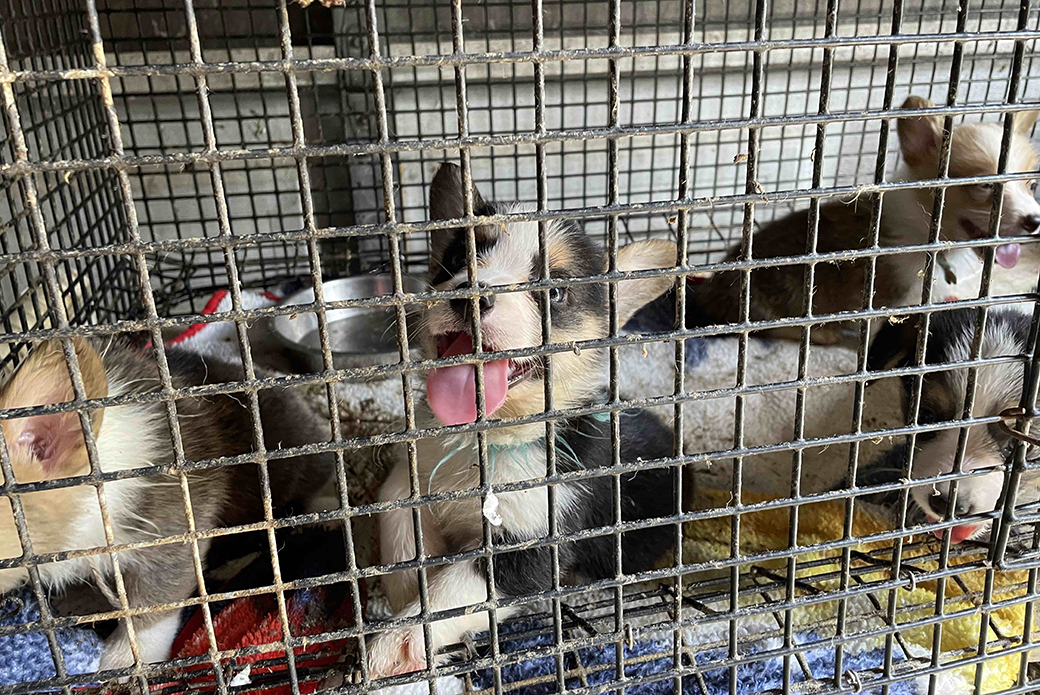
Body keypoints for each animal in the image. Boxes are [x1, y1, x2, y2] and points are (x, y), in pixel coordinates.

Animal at [368, 161, 682, 674]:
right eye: (458, 256)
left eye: (555, 292)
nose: (471, 295)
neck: (486, 438)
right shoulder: (407, 480)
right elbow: (397, 525)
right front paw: (406, 588)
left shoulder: (531, 546)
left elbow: (454, 591)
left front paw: (395, 640)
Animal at [690, 96, 1040, 345]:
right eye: (984, 186)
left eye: (1031, 185)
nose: (1034, 221)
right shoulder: (881, 302)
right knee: (765, 329)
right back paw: (822, 333)